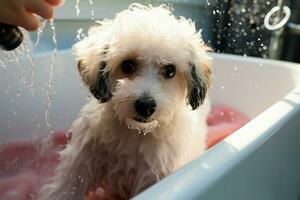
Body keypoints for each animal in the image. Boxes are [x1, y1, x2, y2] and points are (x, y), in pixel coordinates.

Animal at [38, 3, 212, 200]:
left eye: (170, 70)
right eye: (127, 65)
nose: (145, 106)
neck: (135, 131)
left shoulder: (153, 175)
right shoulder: (82, 158)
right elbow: (65, 187)